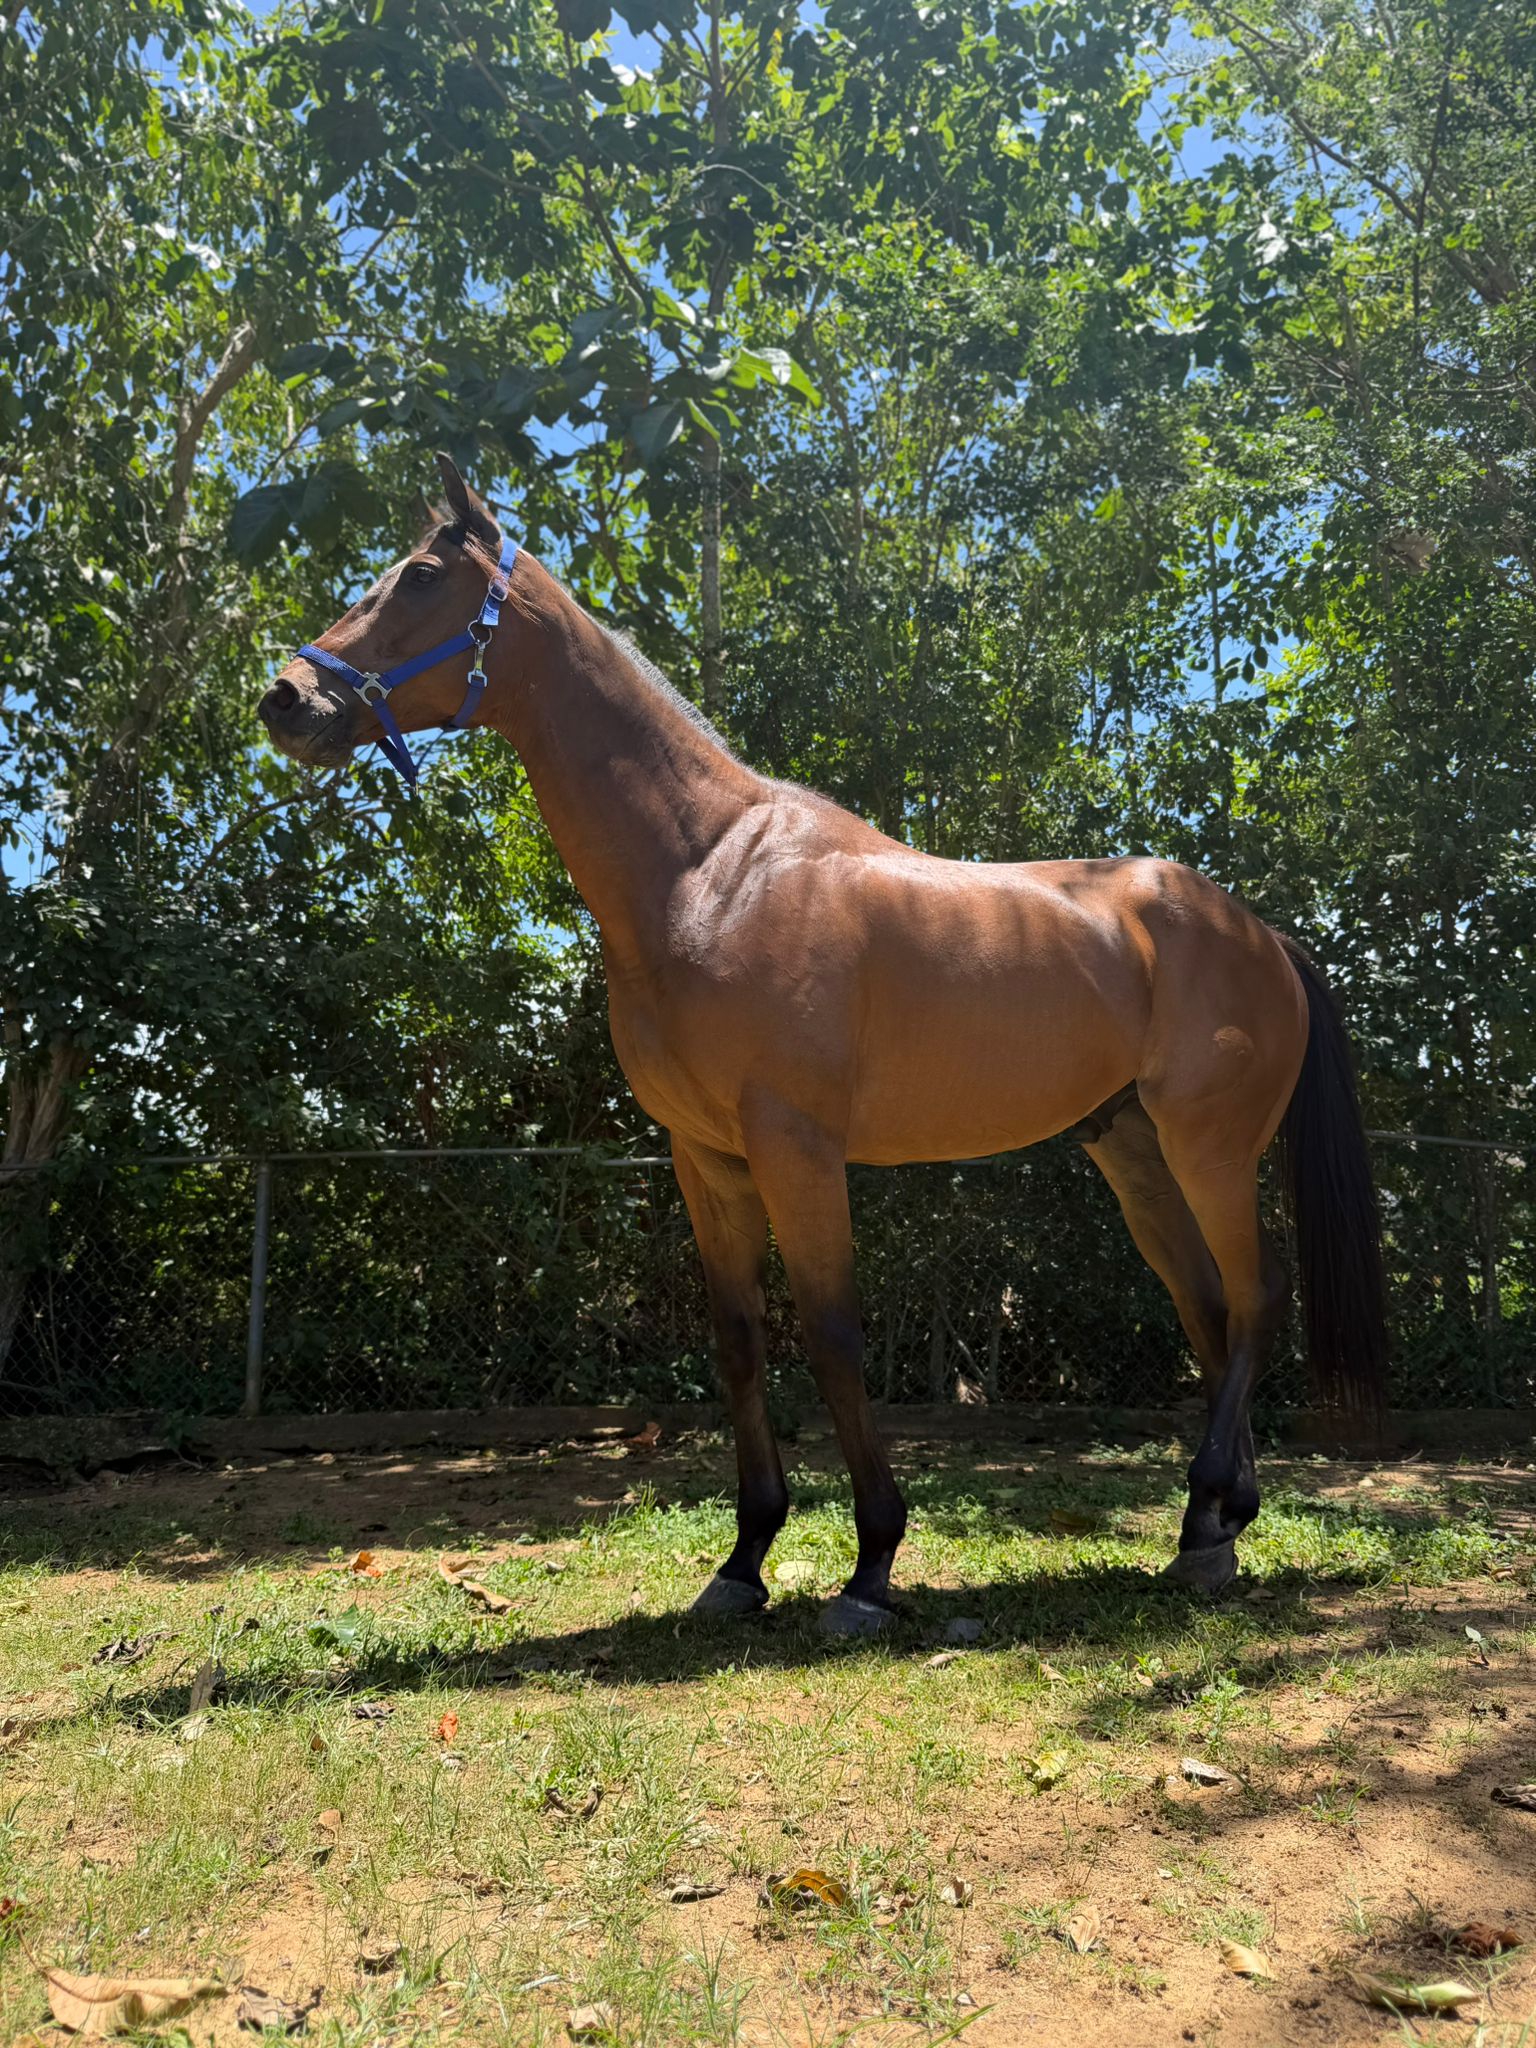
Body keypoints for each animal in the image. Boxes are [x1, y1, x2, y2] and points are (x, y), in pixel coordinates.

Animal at [260, 453, 1387, 1636]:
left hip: (1208, 1147)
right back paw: (1210, 1528)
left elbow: (835, 1335)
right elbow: (739, 1343)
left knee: (1255, 1301)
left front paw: (871, 1564)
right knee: (1208, 1310)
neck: (708, 874)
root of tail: (1262, 934)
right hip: (1129, 1150)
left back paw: (1211, 1516)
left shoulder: (796, 1147)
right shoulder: (706, 1158)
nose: (285, 698)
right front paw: (743, 1558)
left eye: (423, 577)